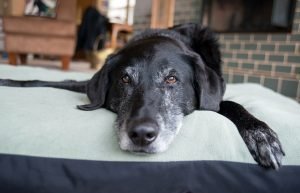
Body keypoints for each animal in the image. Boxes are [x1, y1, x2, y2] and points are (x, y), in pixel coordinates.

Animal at [0, 23, 284, 169]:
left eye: (172, 79)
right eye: (125, 79)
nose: (141, 135)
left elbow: (232, 104)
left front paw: (261, 134)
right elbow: (44, 80)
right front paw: (9, 80)